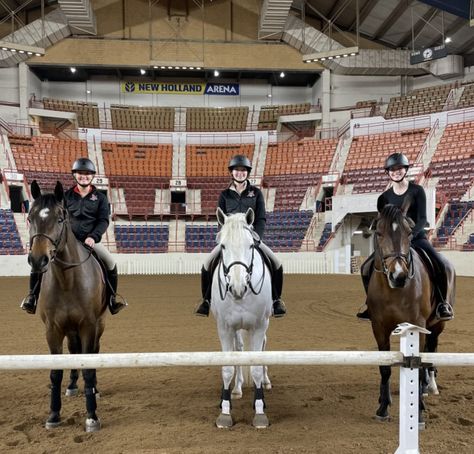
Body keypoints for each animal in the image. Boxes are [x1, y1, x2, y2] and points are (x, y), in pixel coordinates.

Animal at [27, 181, 107, 432]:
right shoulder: (52, 329)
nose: (38, 260)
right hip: (69, 329)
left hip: (99, 324)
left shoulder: (89, 326)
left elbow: (89, 365)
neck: (67, 280)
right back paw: (72, 385)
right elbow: (56, 371)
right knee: (73, 351)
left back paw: (94, 389)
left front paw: (92, 416)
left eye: (61, 218)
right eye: (30, 217)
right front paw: (53, 414)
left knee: (92, 352)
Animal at [212, 208, 272, 430]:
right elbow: (228, 367)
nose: (238, 288)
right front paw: (225, 412)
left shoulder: (259, 326)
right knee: (239, 349)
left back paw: (266, 381)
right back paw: (237, 389)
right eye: (223, 246)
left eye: (251, 245)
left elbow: (255, 367)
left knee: (264, 346)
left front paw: (260, 411)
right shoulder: (225, 328)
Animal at [368, 201, 454, 422]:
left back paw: (430, 386)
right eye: (379, 232)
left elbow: (419, 363)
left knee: (431, 351)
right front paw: (383, 408)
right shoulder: (379, 327)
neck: (395, 290)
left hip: (438, 324)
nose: (398, 275)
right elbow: (384, 366)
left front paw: (419, 411)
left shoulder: (418, 324)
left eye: (409, 232)